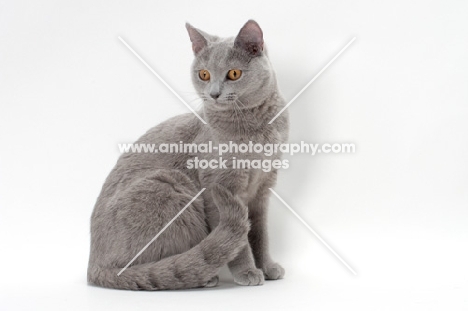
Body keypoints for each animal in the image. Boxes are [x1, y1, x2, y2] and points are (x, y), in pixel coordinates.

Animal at [85, 20, 288, 292]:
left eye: (234, 74)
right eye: (204, 75)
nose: (213, 93)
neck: (256, 128)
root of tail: (93, 265)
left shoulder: (264, 188)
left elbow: (260, 235)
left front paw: (267, 267)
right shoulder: (218, 186)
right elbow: (241, 243)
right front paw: (246, 272)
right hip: (168, 185)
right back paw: (204, 275)